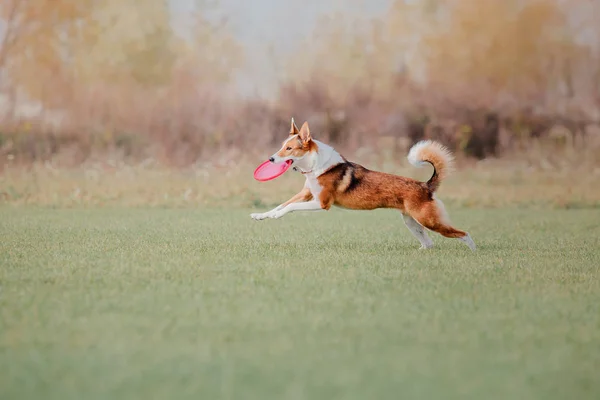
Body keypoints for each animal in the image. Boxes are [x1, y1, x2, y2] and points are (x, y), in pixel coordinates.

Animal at [251, 117, 476, 252]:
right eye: (282, 146)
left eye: (289, 148)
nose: (270, 159)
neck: (316, 165)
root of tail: (426, 186)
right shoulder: (306, 194)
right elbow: (281, 205)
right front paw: (261, 216)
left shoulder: (321, 203)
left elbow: (290, 207)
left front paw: (277, 216)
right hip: (412, 222)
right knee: (429, 243)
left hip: (429, 220)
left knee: (463, 233)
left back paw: (473, 251)